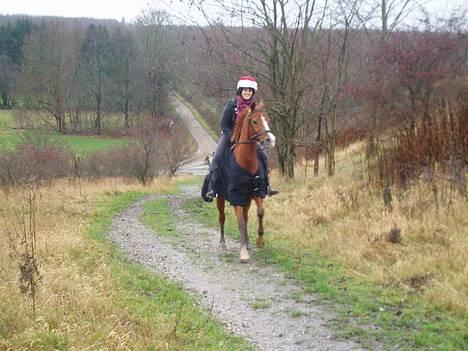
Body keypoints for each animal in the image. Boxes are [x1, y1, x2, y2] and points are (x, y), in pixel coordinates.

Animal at [213, 100, 274, 262]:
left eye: (268, 120)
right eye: (254, 121)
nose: (271, 140)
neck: (246, 162)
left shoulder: (256, 192)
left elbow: (260, 212)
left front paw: (259, 241)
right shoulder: (235, 196)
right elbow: (240, 222)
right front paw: (243, 253)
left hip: (246, 199)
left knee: (246, 218)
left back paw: (247, 243)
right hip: (221, 199)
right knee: (222, 217)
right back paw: (222, 244)